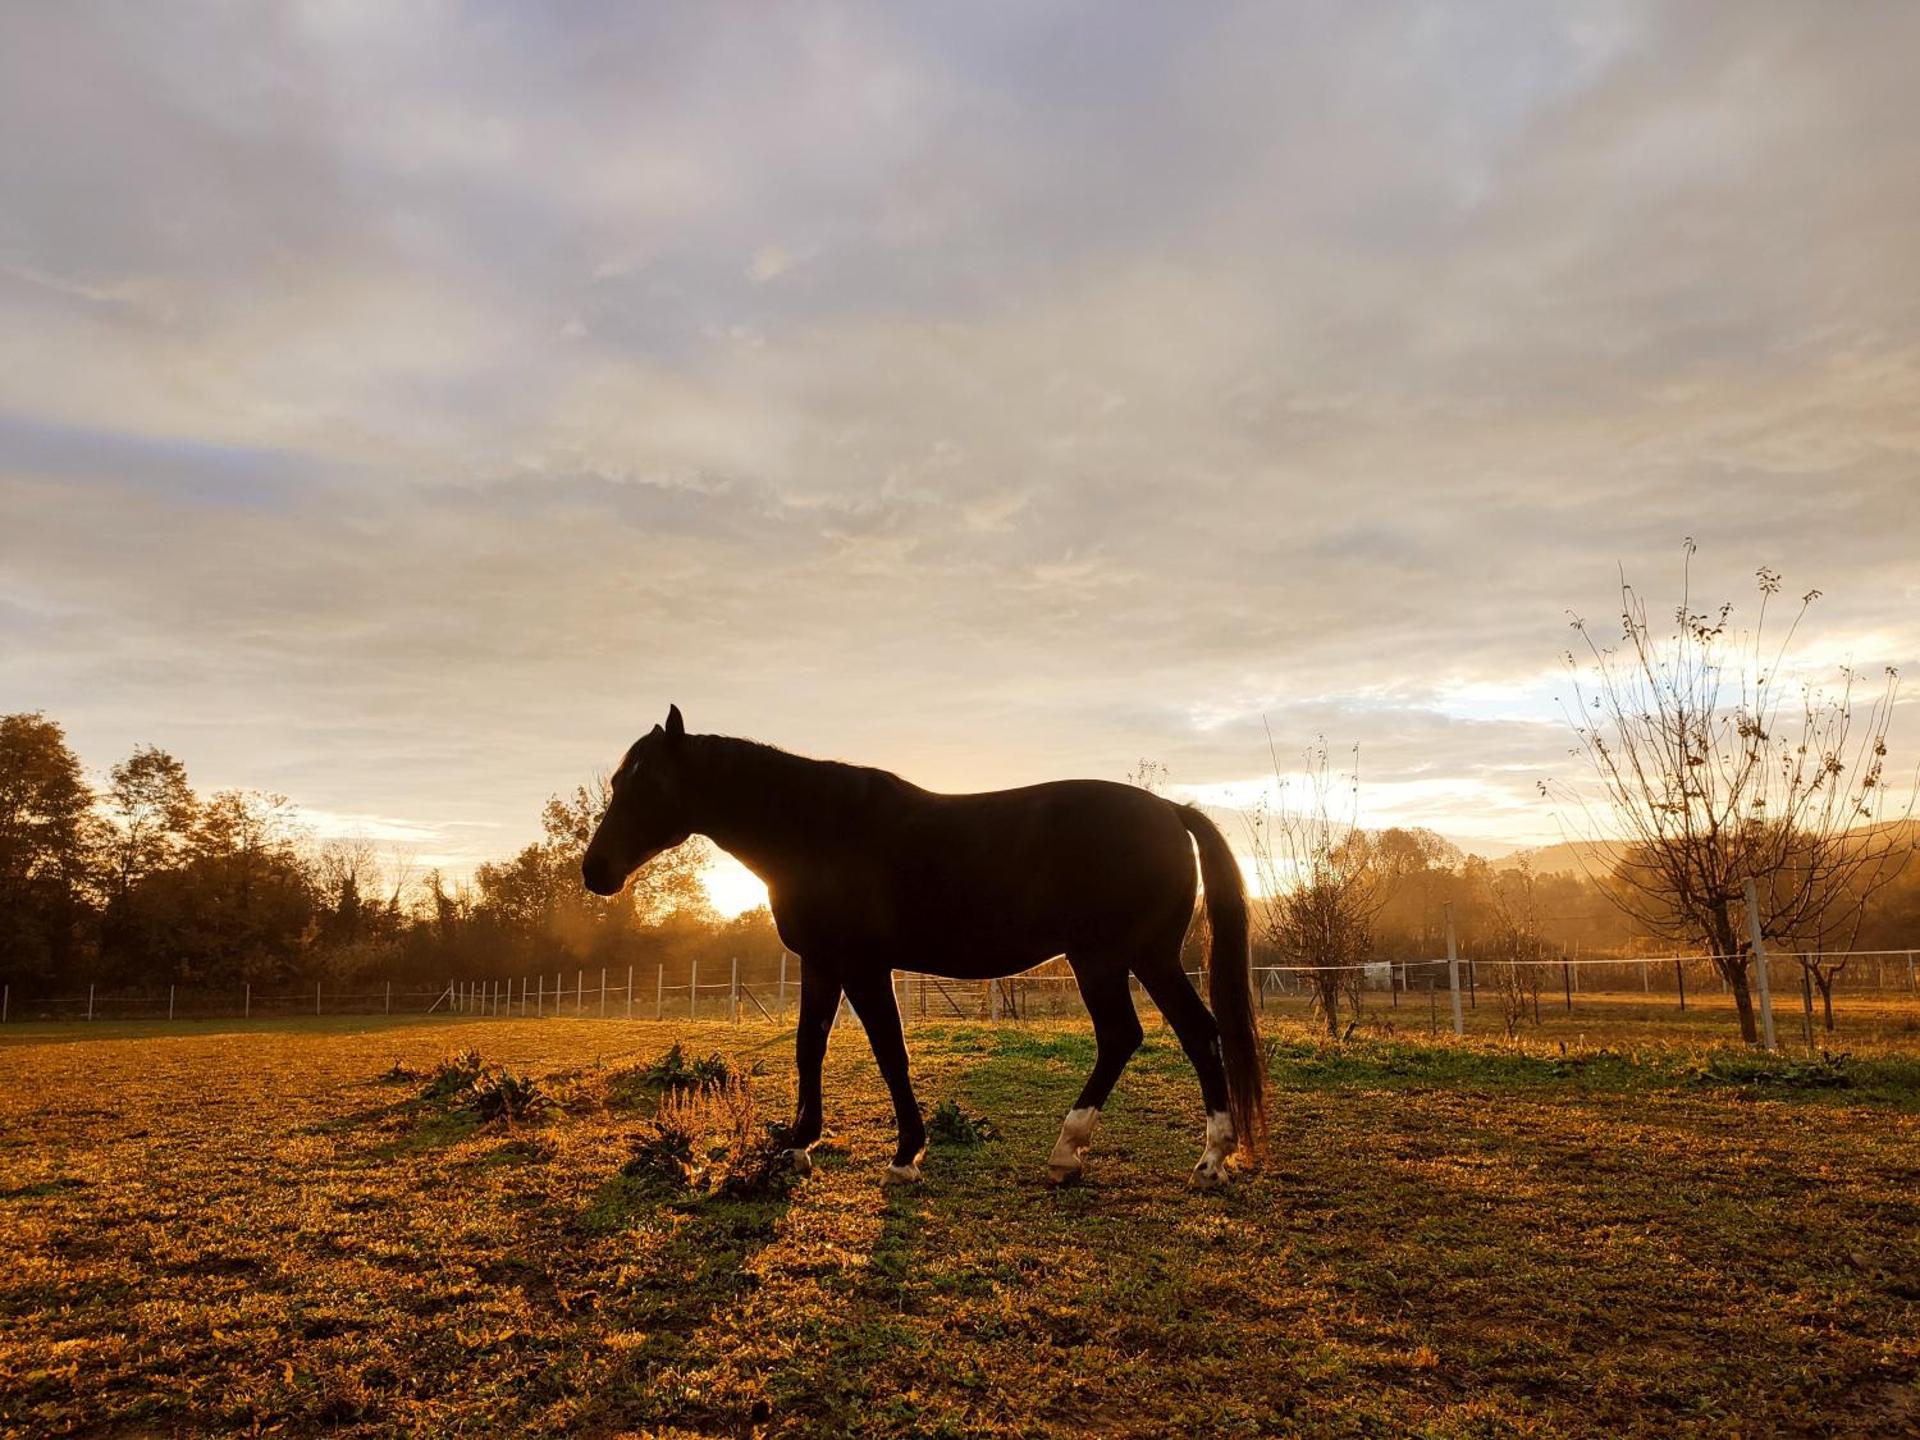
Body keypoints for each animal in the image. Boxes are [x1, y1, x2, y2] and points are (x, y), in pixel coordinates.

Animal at [582, 705, 1266, 1188]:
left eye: (648, 784)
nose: (595, 871)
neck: (815, 828)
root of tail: (1171, 812)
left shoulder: (863, 966)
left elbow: (890, 1052)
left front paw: (906, 1154)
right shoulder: (821, 963)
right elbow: (809, 1047)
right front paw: (799, 1143)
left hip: (1107, 961)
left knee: (1133, 1036)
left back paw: (1091, 1152)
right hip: (1143, 959)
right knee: (1190, 1033)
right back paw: (1193, 1158)